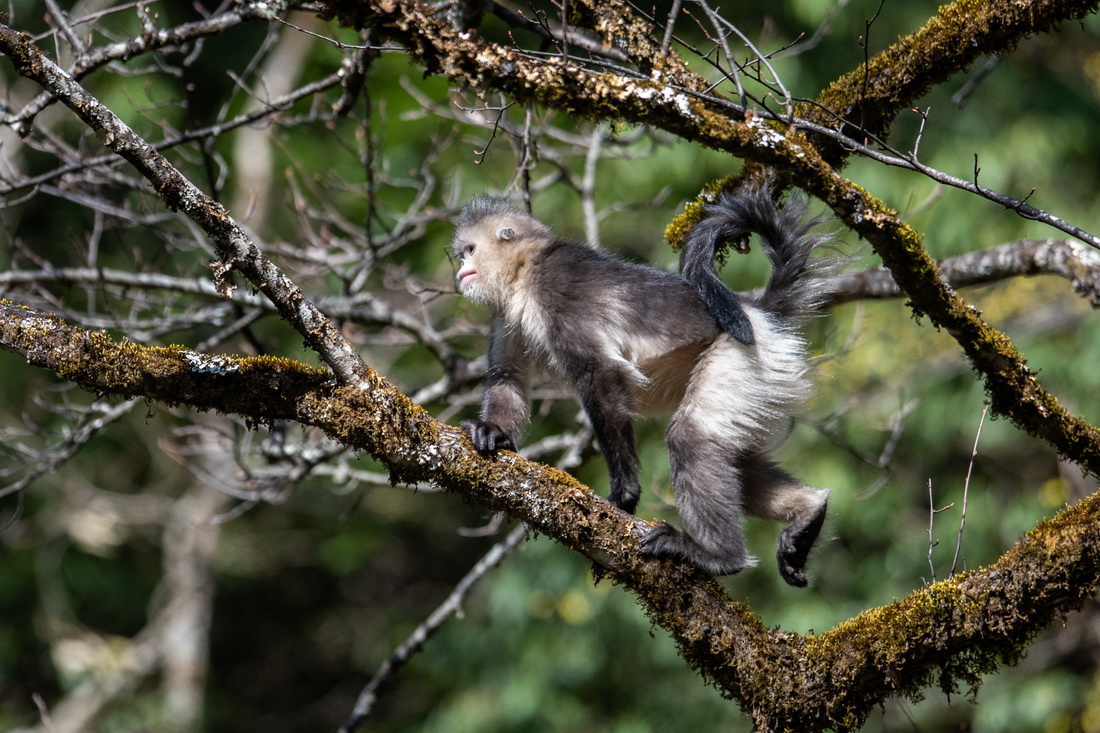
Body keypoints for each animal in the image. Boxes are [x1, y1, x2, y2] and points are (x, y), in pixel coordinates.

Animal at [452, 188, 836, 586]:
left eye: (470, 250)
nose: (460, 270)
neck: (526, 270)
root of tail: (759, 313)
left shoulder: (554, 287)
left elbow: (600, 372)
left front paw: (624, 496)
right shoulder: (504, 313)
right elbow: (508, 376)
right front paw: (494, 433)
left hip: (743, 356)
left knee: (690, 436)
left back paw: (719, 557)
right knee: (734, 455)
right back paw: (808, 512)